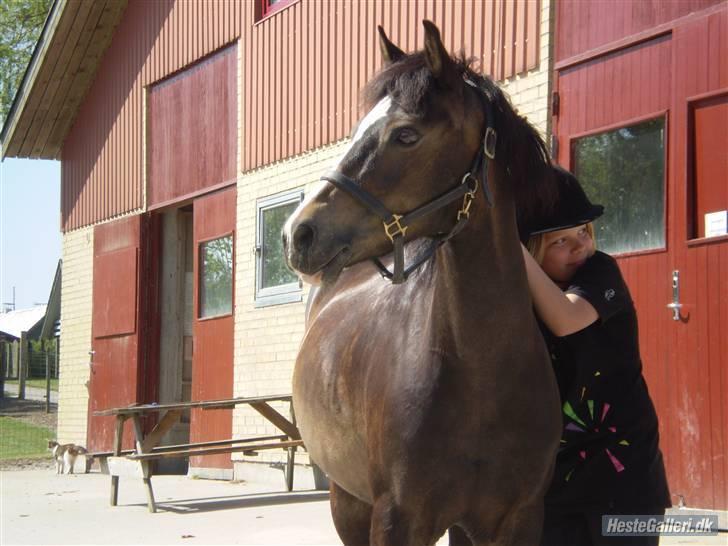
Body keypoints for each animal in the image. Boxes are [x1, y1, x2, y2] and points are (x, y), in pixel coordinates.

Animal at [283, 21, 561, 546]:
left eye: (406, 134)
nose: (297, 233)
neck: (481, 372)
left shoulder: (519, 518)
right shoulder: (397, 518)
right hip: (346, 501)